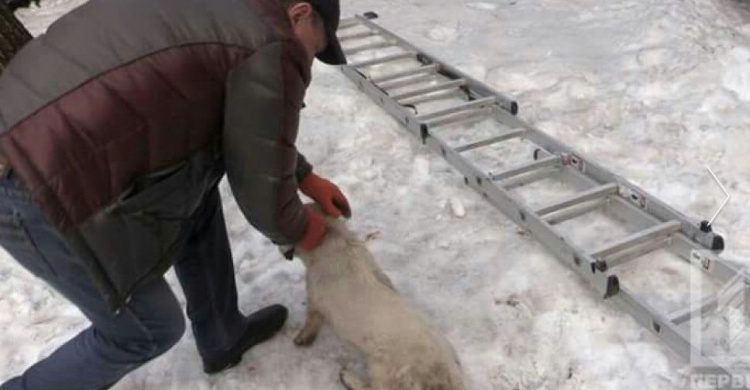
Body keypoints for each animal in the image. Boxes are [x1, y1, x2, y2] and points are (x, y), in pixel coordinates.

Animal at [296, 212, 468, 390]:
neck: (337, 239)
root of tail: (446, 378)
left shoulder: (315, 295)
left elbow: (311, 319)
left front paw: (302, 338)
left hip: (382, 363)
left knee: (375, 387)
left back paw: (347, 377)